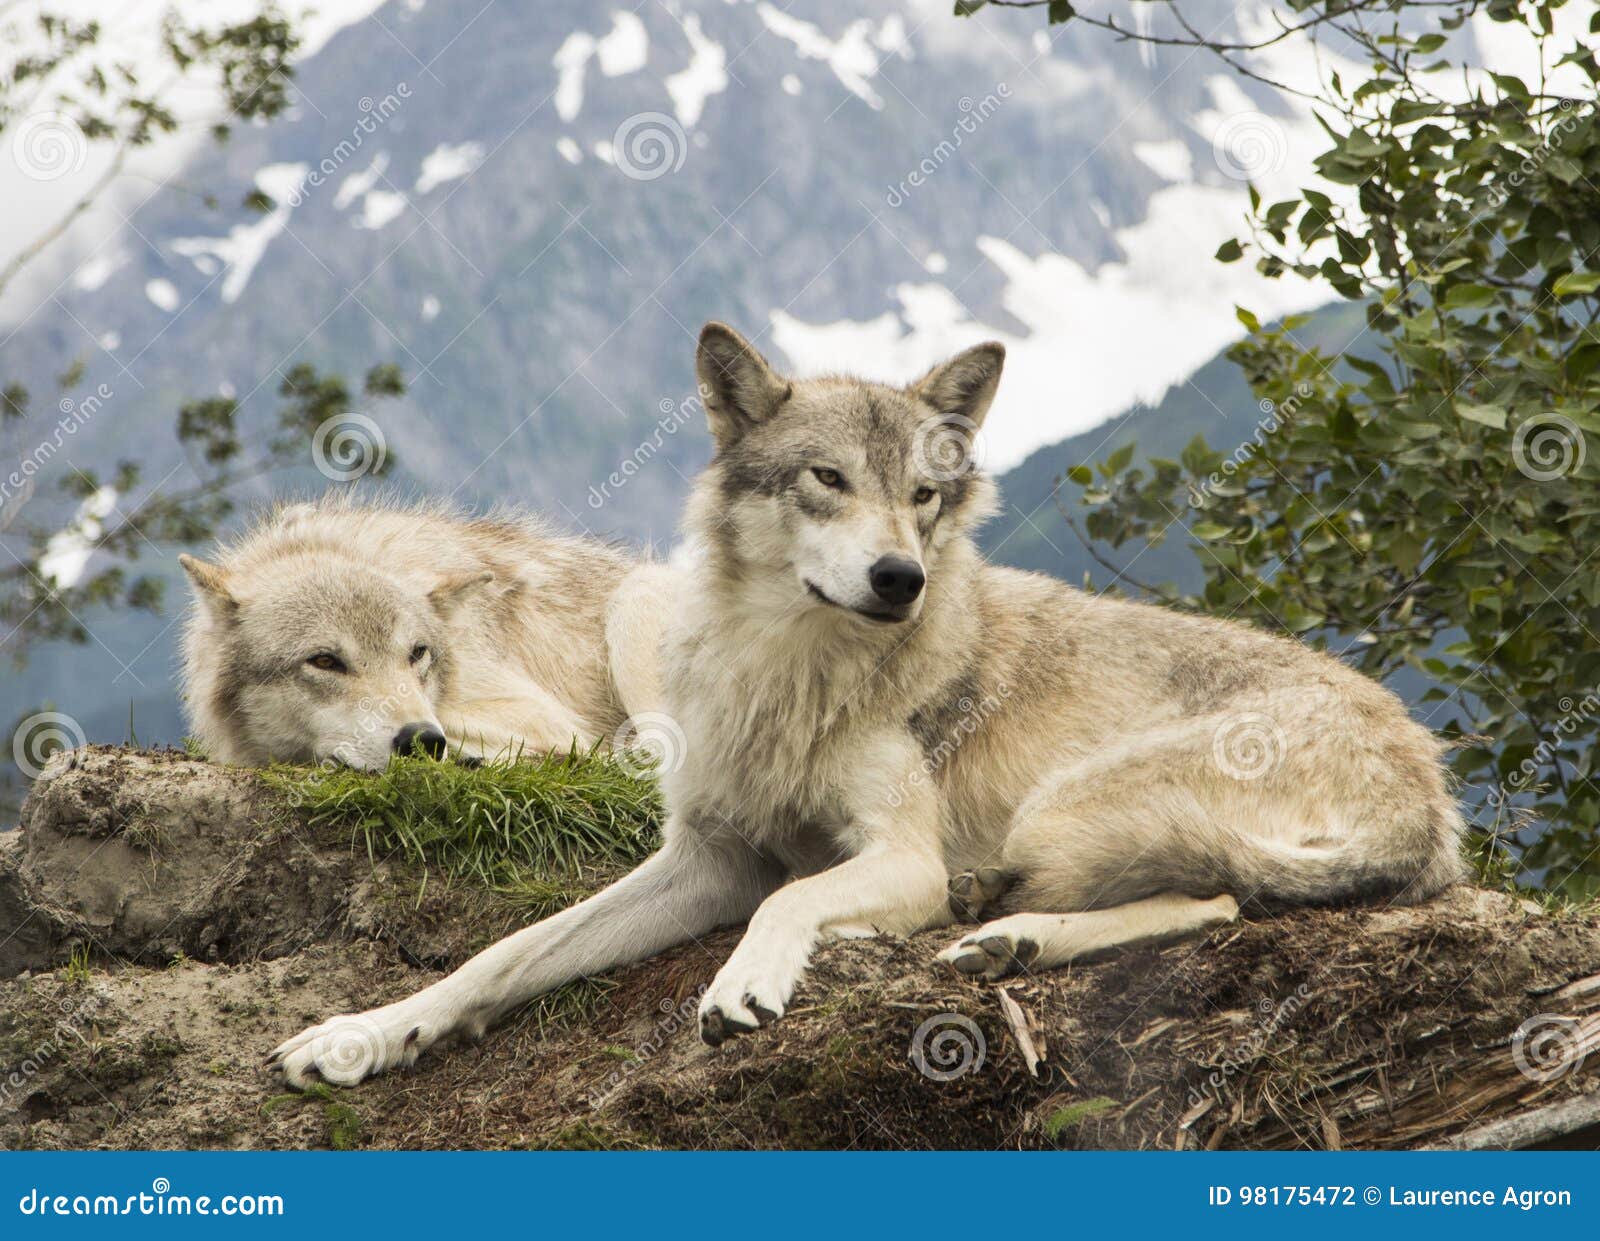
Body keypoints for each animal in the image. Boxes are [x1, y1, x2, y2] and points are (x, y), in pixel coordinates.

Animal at [268, 323, 1465, 1087]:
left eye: (924, 494)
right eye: (828, 480)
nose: (900, 577)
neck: (790, 670)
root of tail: (1431, 789)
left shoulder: (896, 860)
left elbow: (789, 901)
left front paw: (743, 984)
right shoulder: (705, 856)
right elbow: (504, 955)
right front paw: (364, 1034)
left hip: (1063, 811)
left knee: (1216, 901)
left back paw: (1007, 935)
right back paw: (1007, 940)